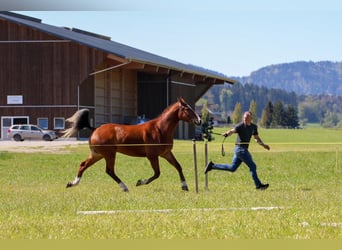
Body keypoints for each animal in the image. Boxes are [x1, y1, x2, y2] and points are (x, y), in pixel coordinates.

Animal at [62, 97, 200, 191]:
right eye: (187, 109)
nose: (198, 120)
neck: (159, 129)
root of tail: (95, 129)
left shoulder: (166, 153)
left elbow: (178, 166)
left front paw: (185, 186)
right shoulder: (152, 156)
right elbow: (157, 173)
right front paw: (140, 182)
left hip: (98, 155)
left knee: (83, 165)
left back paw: (72, 183)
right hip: (109, 154)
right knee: (109, 170)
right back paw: (124, 187)